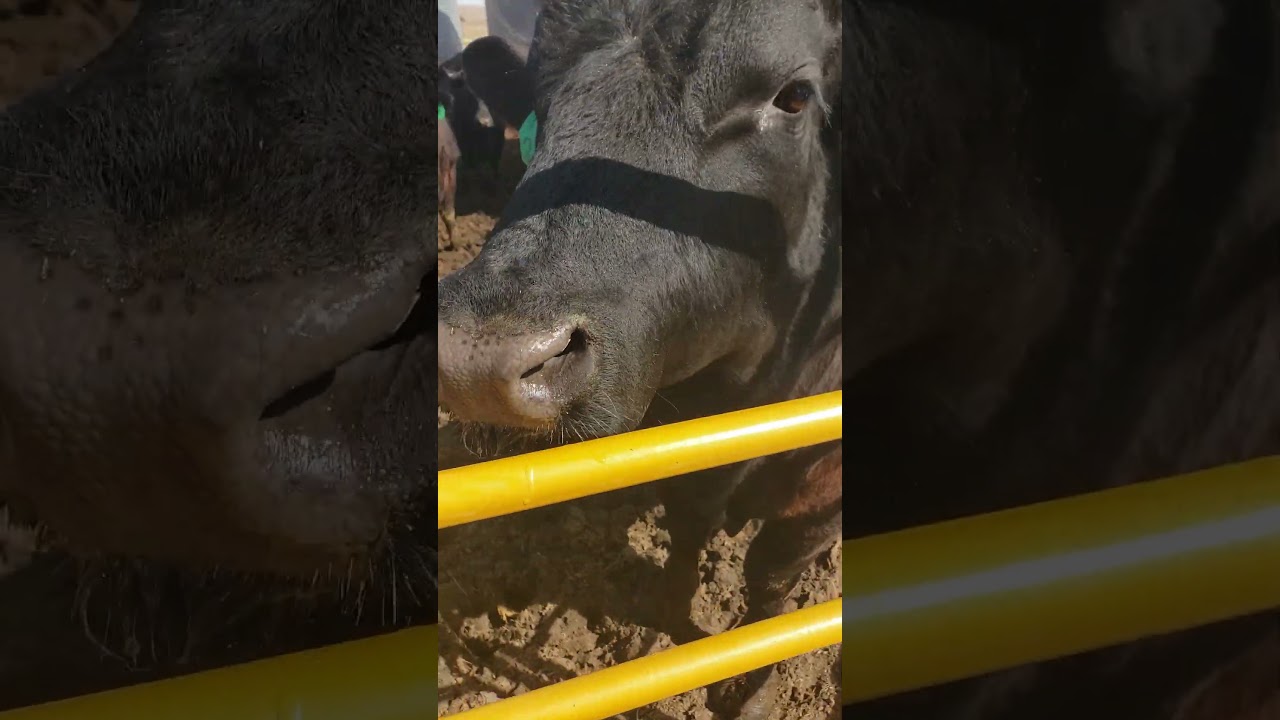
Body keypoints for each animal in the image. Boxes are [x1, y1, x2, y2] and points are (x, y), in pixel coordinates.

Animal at [435, 0, 842, 717]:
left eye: (794, 96)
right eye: (538, 98)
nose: (474, 363)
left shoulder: (823, 480)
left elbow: (770, 577)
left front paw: (751, 688)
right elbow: (686, 524)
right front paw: (670, 620)